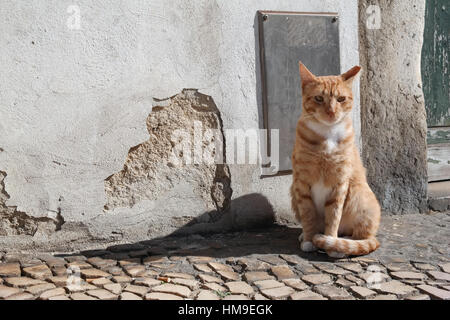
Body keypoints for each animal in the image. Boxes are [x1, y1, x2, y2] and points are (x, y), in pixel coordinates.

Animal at [290, 62, 382, 258]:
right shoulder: (302, 183)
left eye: (341, 99)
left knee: (359, 237)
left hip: (360, 198)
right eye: (318, 98)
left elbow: (333, 217)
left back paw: (342, 243)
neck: (327, 134)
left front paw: (331, 244)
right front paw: (309, 240)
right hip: (292, 191)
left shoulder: (340, 184)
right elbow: (308, 215)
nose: (331, 112)